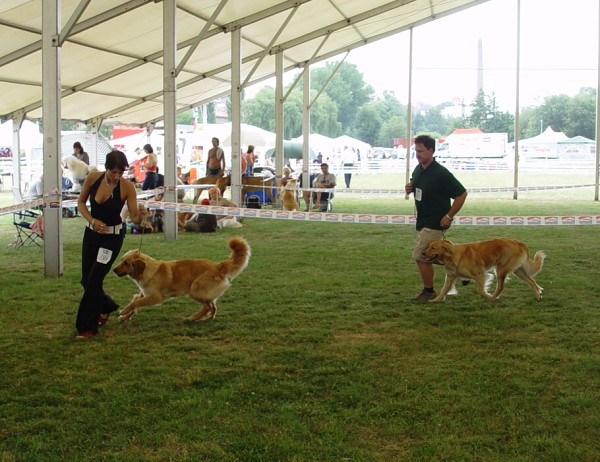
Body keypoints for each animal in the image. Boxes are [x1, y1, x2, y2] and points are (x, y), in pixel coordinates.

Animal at [113, 236, 250, 320]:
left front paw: (124, 311)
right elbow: (135, 301)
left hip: (194, 290)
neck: (147, 270)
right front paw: (125, 317)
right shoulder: (144, 293)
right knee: (212, 306)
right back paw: (208, 317)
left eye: (126, 263)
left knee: (208, 306)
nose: (114, 270)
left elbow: (136, 303)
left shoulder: (155, 297)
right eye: (121, 260)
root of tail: (217, 265)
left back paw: (194, 318)